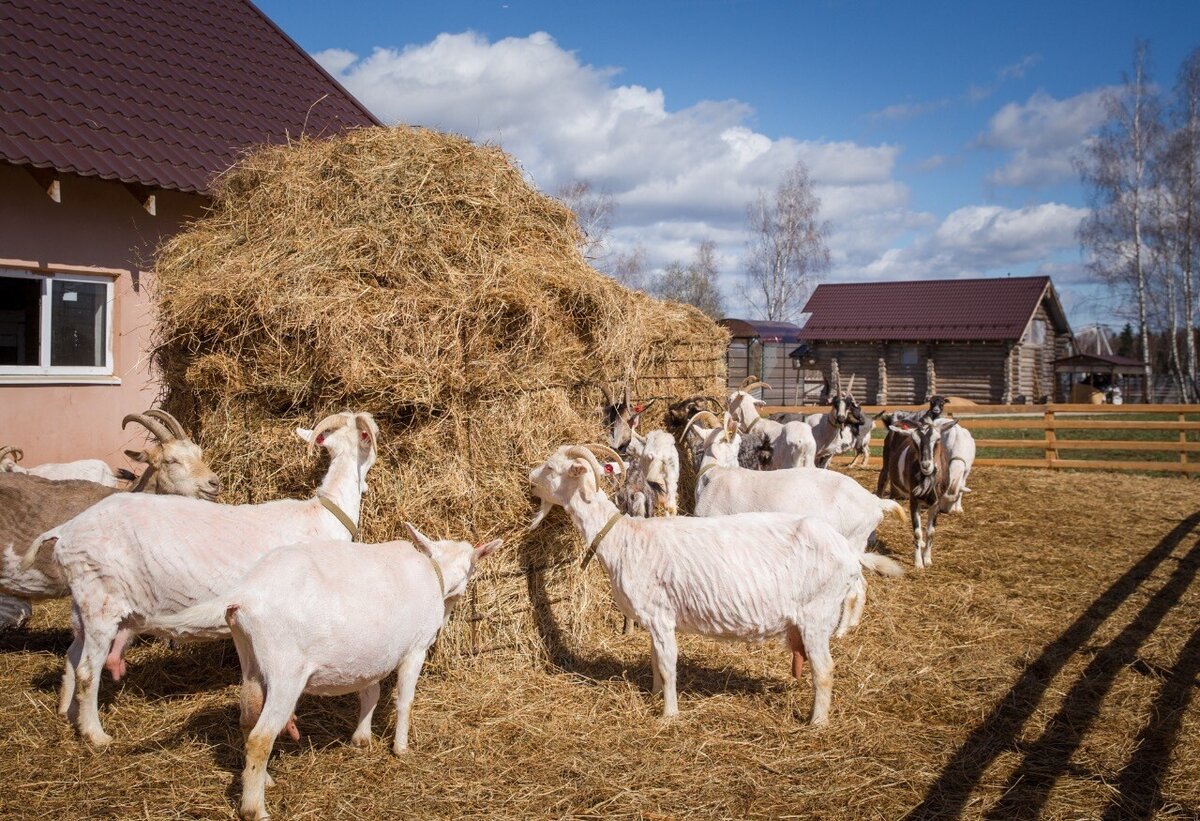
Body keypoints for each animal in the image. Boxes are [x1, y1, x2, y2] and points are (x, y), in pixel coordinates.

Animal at [24, 412, 379, 748]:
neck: (323, 515)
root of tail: (65, 531)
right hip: (101, 601)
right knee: (87, 669)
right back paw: (96, 735)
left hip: (83, 602)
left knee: (73, 656)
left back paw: (69, 714)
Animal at [146, 525, 501, 820]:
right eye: (474, 566)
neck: (436, 574)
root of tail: (246, 593)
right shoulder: (415, 648)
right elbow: (404, 701)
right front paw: (401, 749)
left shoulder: (372, 655)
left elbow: (370, 692)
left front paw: (362, 738)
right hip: (285, 668)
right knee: (261, 737)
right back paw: (255, 809)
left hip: (249, 656)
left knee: (248, 720)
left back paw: (261, 779)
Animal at [530, 441, 888, 724]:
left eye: (550, 467)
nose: (530, 480)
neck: (624, 538)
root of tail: (850, 554)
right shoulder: (657, 618)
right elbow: (655, 660)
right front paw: (654, 694)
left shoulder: (659, 615)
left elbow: (669, 664)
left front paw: (669, 715)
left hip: (817, 614)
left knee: (825, 671)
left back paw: (817, 722)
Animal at [878, 420, 950, 566]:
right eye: (915, 442)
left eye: (938, 440)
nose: (926, 465)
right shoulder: (914, 499)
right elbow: (917, 532)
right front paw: (918, 562)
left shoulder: (937, 502)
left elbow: (931, 531)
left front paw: (927, 559)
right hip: (886, 463)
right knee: (882, 483)